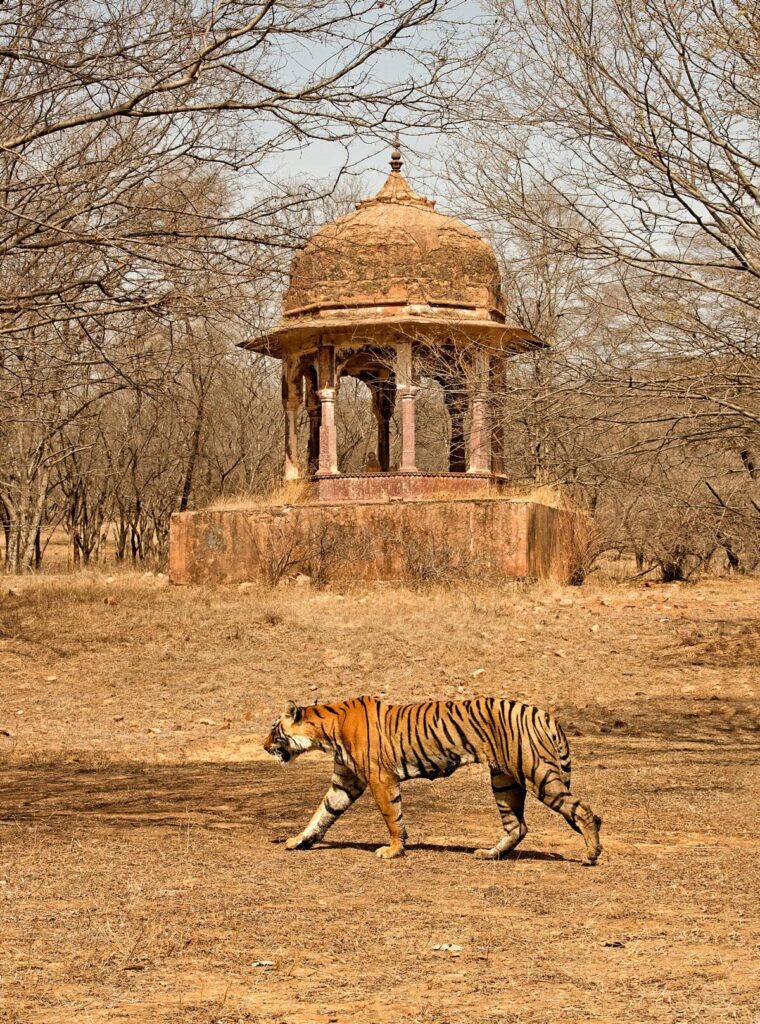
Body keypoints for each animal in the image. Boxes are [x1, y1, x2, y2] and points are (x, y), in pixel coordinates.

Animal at [264, 696, 602, 864]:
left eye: (273, 730)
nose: (264, 745)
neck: (326, 732)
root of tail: (544, 713)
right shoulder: (346, 781)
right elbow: (322, 813)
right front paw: (298, 841)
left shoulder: (379, 777)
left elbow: (392, 815)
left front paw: (393, 850)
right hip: (504, 780)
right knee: (517, 826)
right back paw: (489, 854)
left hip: (537, 774)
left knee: (584, 811)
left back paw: (590, 855)